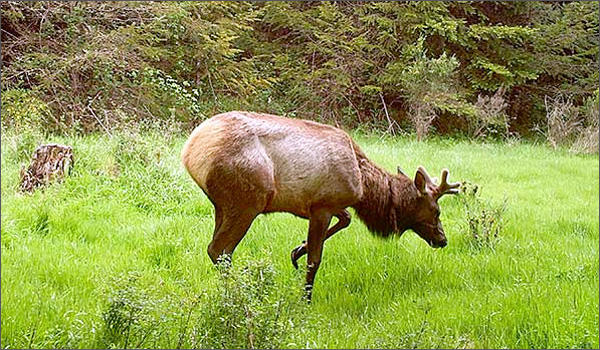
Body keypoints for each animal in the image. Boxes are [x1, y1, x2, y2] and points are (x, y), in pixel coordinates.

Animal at [180, 110, 462, 300]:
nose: (443, 239)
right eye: (436, 210)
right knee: (220, 250)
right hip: (247, 202)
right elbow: (315, 260)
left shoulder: (324, 205)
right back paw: (237, 295)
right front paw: (305, 298)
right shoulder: (322, 206)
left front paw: (297, 250)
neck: (365, 187)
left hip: (221, 206)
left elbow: (346, 218)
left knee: (217, 249)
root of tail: (190, 151)